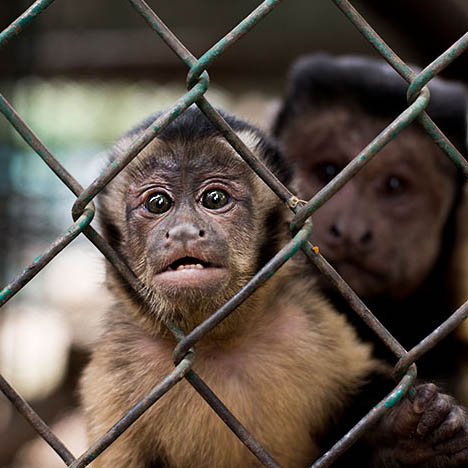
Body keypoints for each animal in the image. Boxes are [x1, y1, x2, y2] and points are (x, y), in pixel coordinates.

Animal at [81, 108, 468, 466]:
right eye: (158, 203)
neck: (215, 340)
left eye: (215, 199)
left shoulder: (308, 324)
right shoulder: (117, 365)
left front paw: (409, 434)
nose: (184, 232)